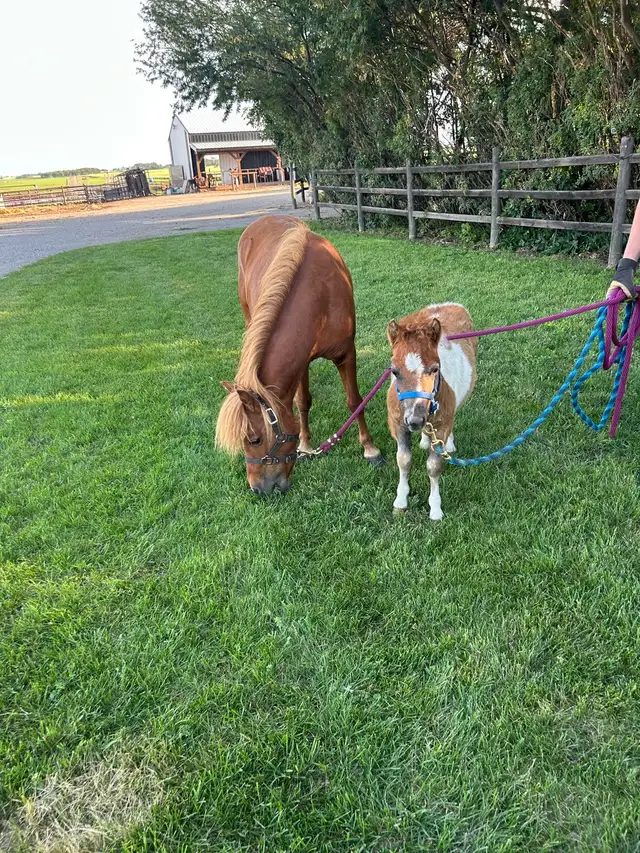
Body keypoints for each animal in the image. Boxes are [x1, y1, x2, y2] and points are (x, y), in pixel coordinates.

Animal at [216, 215, 382, 495]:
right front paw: (305, 445)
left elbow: (354, 401)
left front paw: (370, 449)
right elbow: (302, 402)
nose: (258, 489)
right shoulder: (301, 361)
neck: (320, 297)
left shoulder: (346, 353)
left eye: (254, 439)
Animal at [386, 303, 477, 519]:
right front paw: (400, 502)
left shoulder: (442, 424)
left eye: (435, 369)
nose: (415, 420)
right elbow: (403, 460)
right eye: (394, 371)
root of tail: (449, 304)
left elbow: (434, 466)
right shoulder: (398, 424)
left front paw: (435, 509)